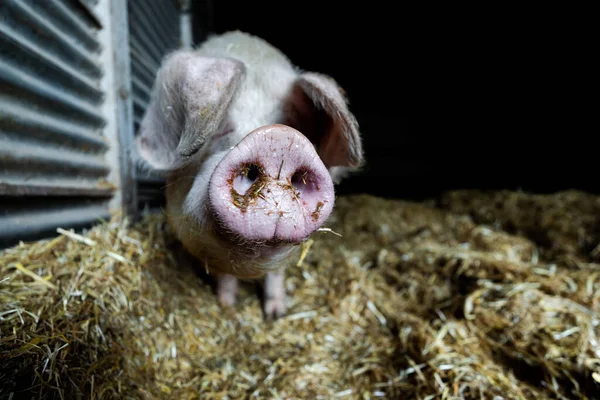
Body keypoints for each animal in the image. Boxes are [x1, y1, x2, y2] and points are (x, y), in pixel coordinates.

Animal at [134, 30, 364, 318]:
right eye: (220, 130)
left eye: (292, 125)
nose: (278, 137)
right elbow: (224, 277)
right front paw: (226, 306)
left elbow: (276, 274)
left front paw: (276, 315)